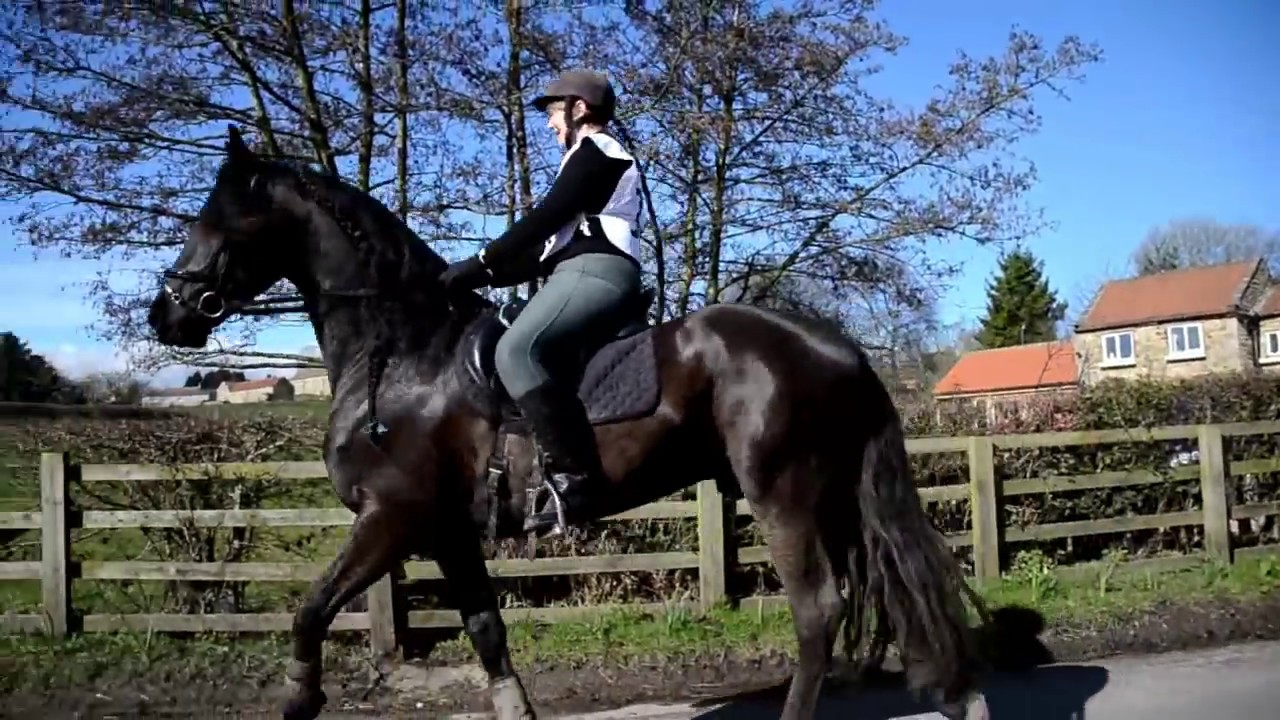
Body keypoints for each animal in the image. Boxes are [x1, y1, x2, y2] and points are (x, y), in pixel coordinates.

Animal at [146, 125, 990, 720]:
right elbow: (486, 632)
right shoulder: (447, 529)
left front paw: (300, 698)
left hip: (782, 493)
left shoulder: (391, 519)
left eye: (219, 221)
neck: (403, 352)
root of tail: (833, 344)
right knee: (893, 586)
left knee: (818, 611)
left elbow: (310, 610)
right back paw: (957, 694)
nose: (167, 314)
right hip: (837, 495)